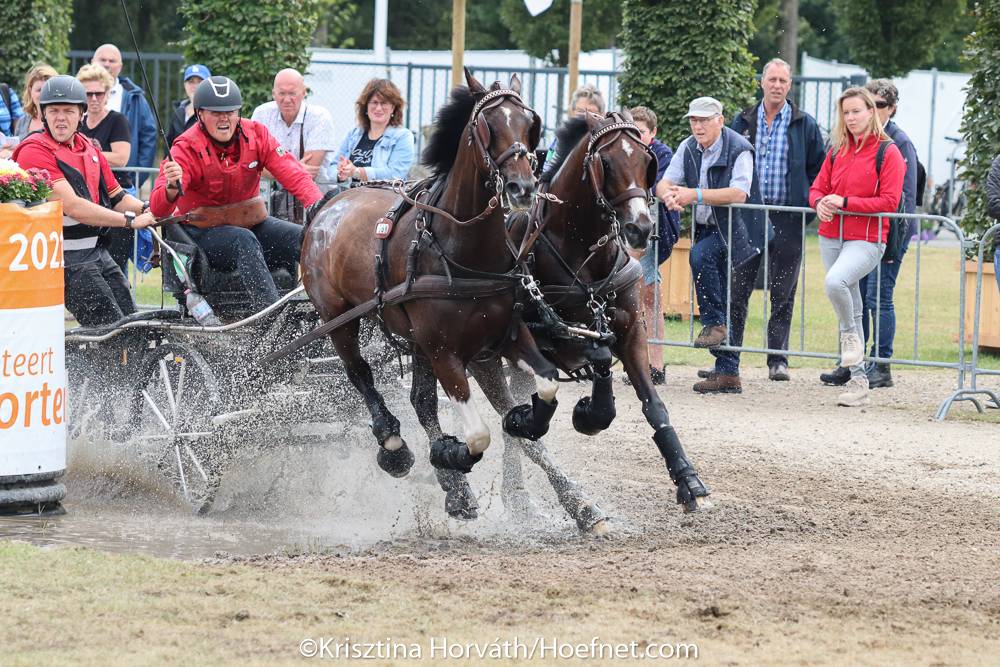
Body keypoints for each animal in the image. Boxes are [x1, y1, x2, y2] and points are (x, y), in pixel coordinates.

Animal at [300, 70, 566, 520]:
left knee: (420, 400)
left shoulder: (507, 335)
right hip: (338, 318)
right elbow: (476, 434)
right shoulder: (443, 351)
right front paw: (450, 454)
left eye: (530, 123)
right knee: (360, 373)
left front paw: (522, 419)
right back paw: (394, 446)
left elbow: (546, 386)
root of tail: (332, 201)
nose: (522, 187)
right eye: (487, 125)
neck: (461, 247)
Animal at [470, 112, 711, 513]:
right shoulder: (551, 339)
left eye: (646, 161)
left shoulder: (632, 334)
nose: (640, 227)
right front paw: (588, 413)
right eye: (607, 163)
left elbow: (654, 405)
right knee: (510, 419)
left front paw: (687, 479)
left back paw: (517, 494)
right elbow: (595, 362)